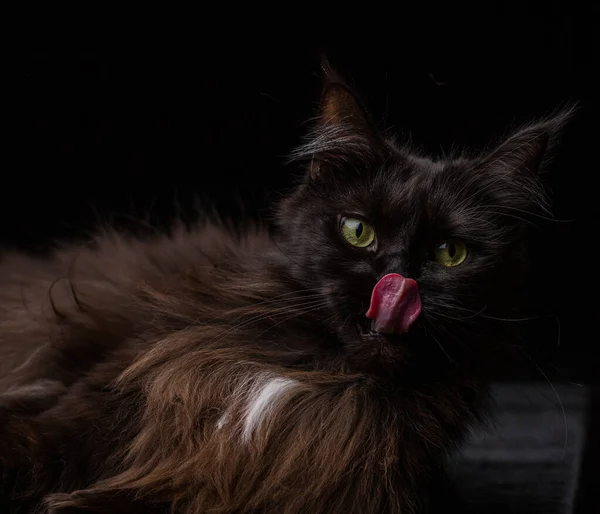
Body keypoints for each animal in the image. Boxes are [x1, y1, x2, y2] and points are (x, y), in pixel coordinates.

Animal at [0, 61, 572, 512]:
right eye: (358, 231)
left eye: (449, 253)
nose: (397, 282)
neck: (318, 374)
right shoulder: (102, 394)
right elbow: (32, 443)